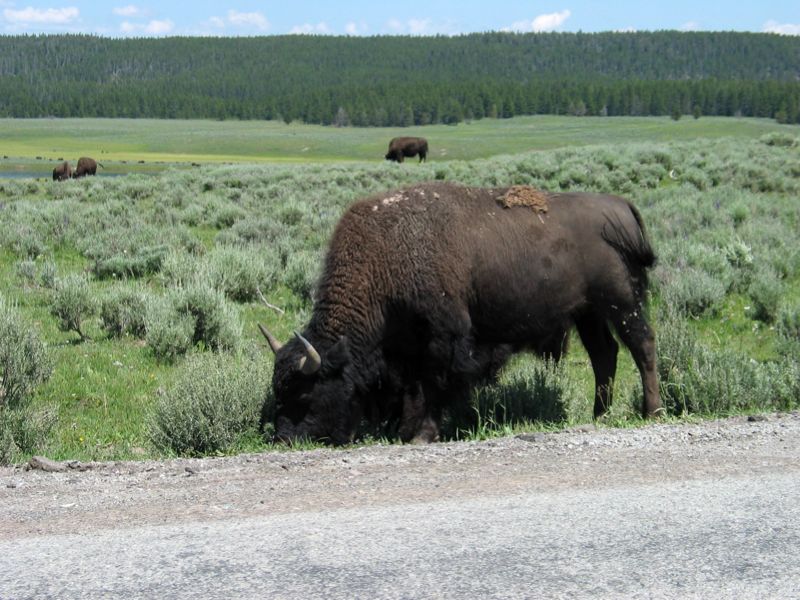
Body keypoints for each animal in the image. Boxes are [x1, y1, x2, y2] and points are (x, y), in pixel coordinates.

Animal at [260, 182, 660, 446]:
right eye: (278, 390)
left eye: (305, 395)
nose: (283, 438)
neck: (385, 260)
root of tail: (620, 205)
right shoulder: (406, 348)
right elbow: (413, 386)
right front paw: (403, 431)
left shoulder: (444, 337)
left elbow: (437, 383)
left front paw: (422, 434)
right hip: (588, 313)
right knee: (605, 354)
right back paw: (599, 415)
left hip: (622, 303)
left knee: (641, 345)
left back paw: (651, 411)